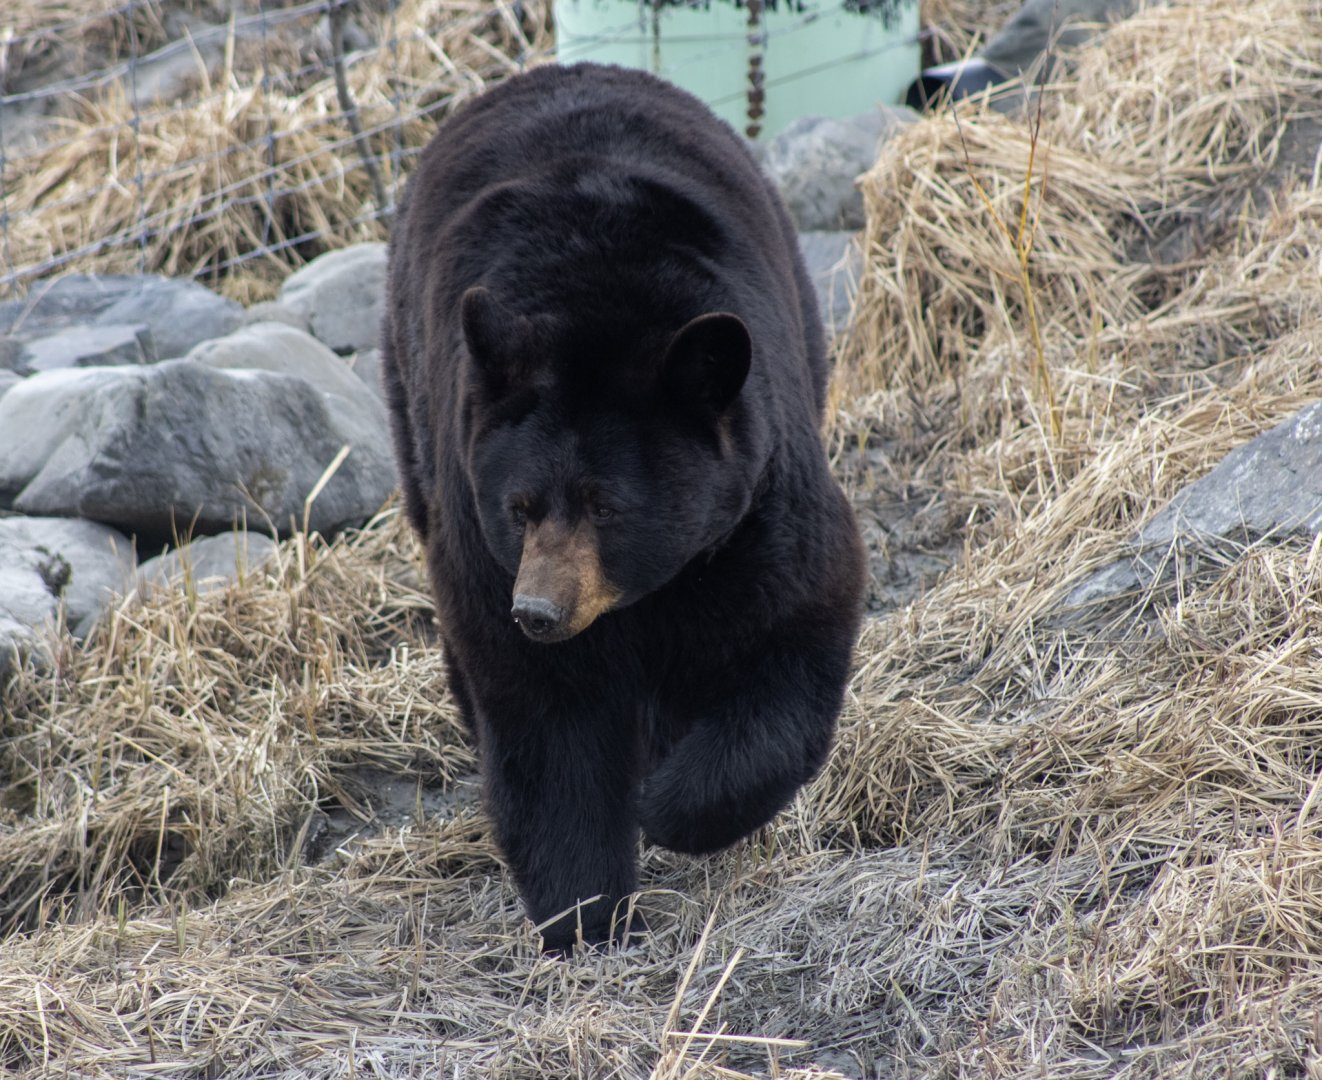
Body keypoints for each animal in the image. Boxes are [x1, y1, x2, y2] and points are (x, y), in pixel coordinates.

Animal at [381, 62, 866, 953]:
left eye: (606, 505)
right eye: (519, 506)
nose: (538, 610)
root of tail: (559, 68)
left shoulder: (757, 507)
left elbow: (794, 632)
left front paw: (673, 808)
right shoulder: (480, 541)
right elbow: (545, 720)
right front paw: (584, 911)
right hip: (413, 408)